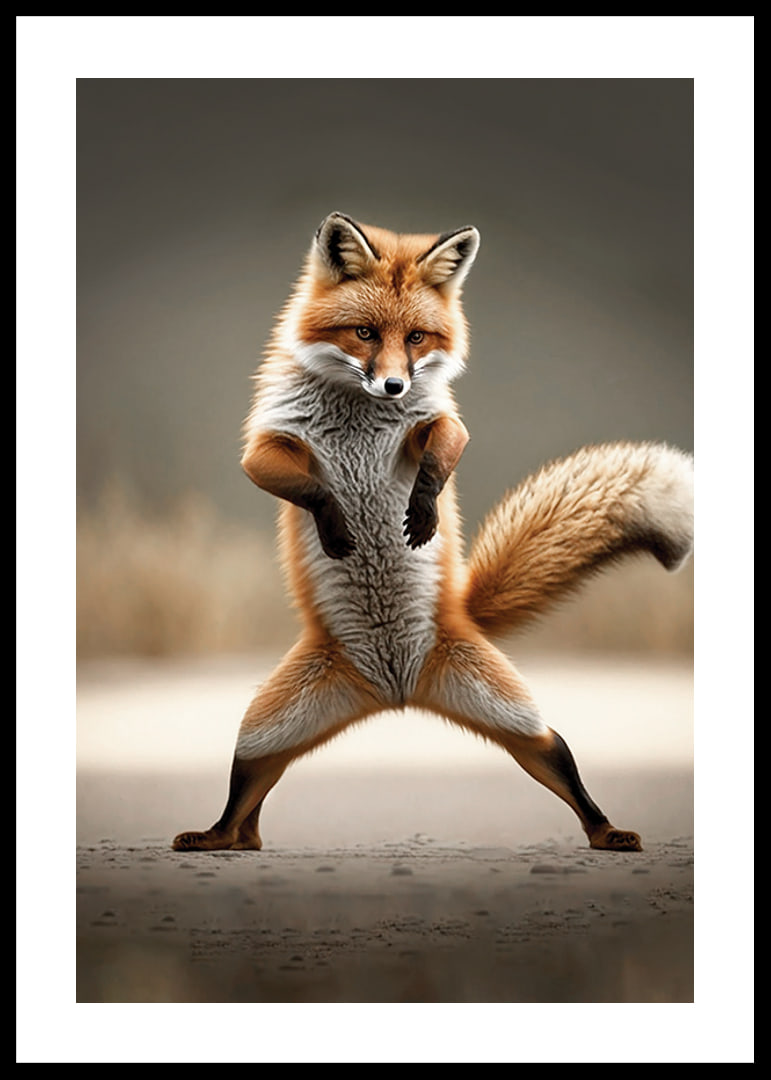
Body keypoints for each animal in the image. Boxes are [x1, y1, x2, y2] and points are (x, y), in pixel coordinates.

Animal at [172, 211, 694, 855]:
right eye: (365, 333)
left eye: (417, 338)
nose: (394, 387)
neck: (359, 417)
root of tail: (396, 693)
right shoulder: (269, 444)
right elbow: (311, 488)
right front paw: (338, 523)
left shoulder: (437, 422)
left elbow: (444, 450)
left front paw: (422, 511)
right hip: (264, 733)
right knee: (247, 800)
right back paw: (221, 837)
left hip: (514, 720)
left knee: (559, 757)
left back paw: (607, 831)